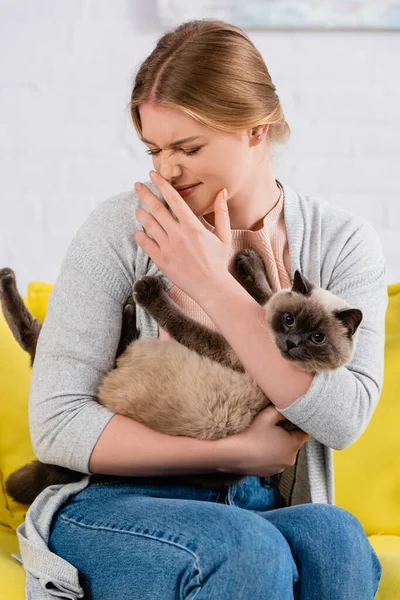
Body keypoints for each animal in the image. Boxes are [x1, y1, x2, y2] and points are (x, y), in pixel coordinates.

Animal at [0, 246, 362, 504]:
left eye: (317, 338)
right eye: (289, 320)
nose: (291, 343)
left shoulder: (227, 349)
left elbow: (182, 322)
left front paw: (147, 292)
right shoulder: (255, 321)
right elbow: (265, 294)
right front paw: (249, 263)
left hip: (113, 366)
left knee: (35, 339)